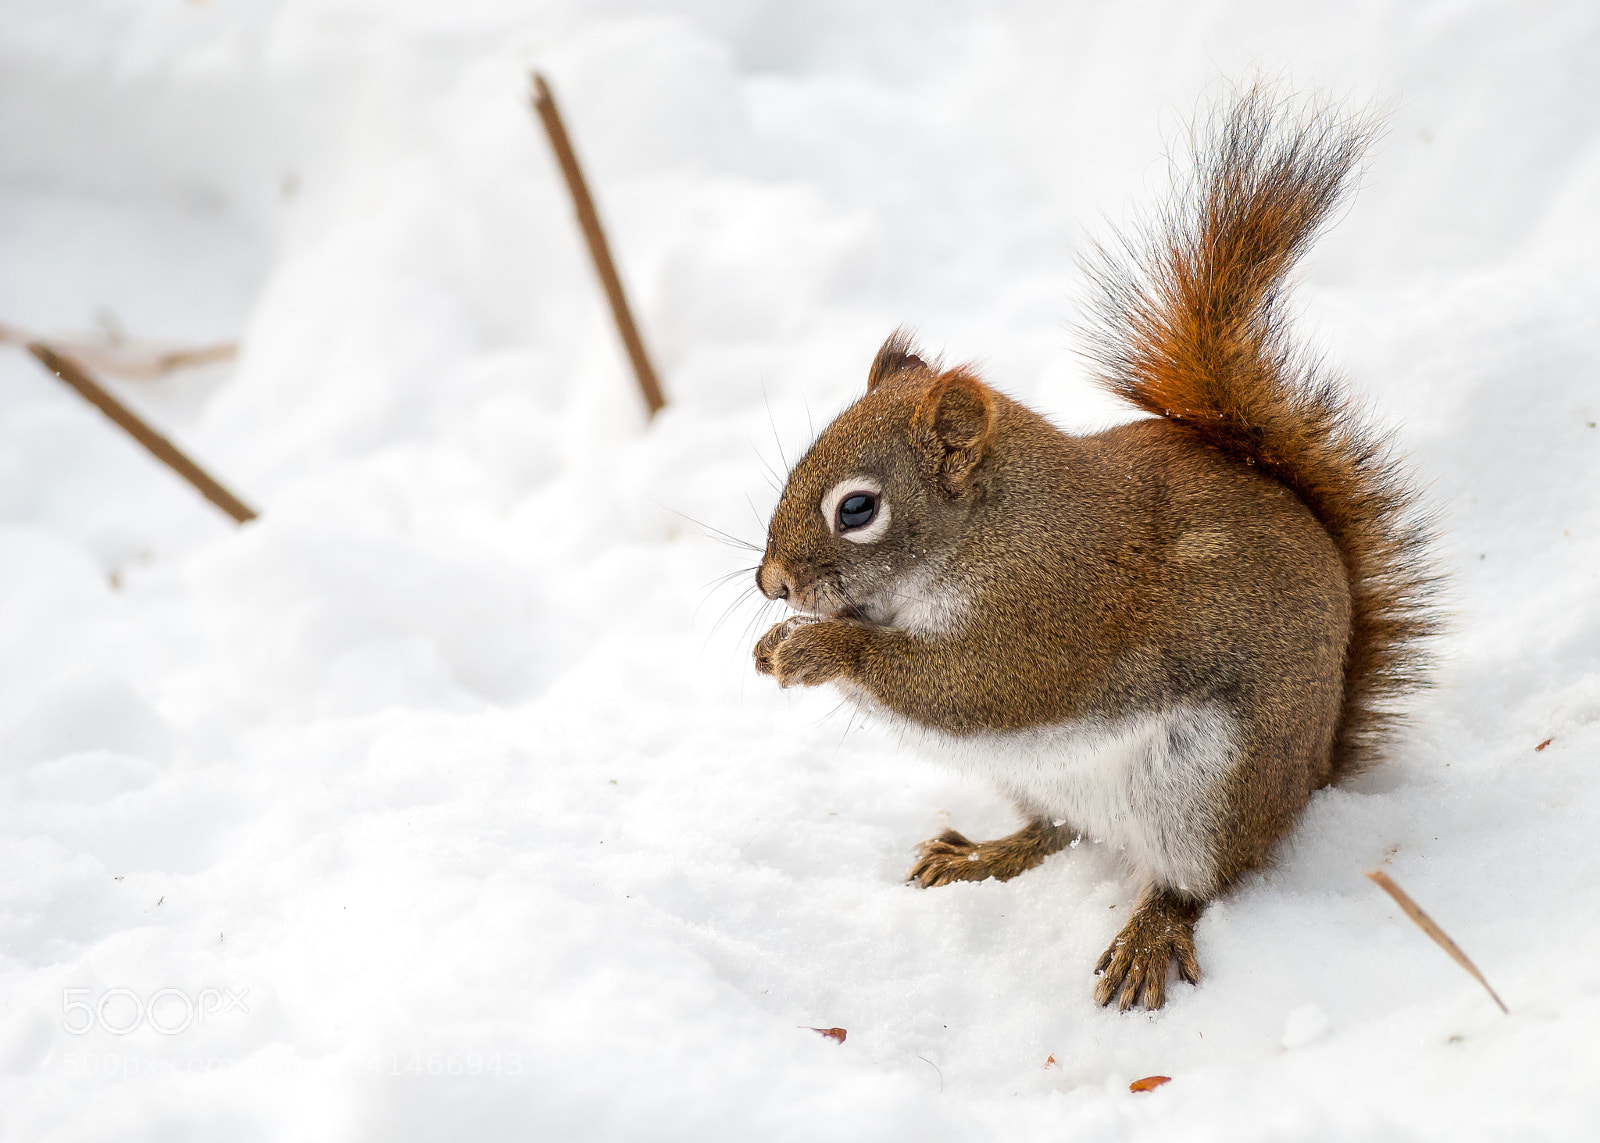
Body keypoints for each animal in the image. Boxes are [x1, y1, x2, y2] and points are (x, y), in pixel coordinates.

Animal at [750, 88, 1438, 1011]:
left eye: (857, 508)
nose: (770, 582)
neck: (994, 528)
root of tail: (1313, 768)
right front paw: (770, 645)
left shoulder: (1049, 612)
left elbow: (965, 686)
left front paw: (819, 647)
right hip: (1046, 780)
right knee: (1055, 830)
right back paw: (982, 853)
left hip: (1208, 789)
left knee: (1198, 882)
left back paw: (1152, 933)